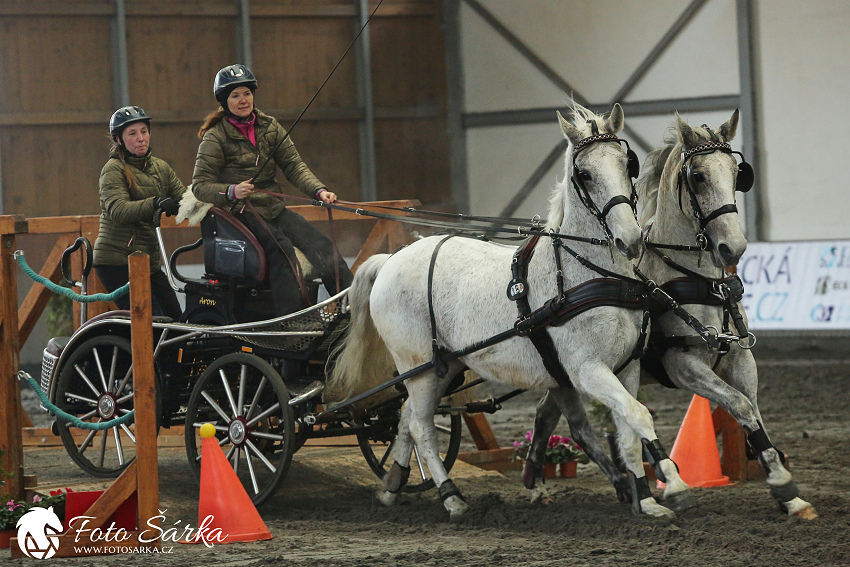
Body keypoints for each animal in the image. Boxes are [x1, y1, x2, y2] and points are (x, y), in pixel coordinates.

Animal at [324, 103, 688, 520]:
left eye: (628, 163)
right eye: (584, 173)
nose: (630, 240)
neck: (590, 274)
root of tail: (390, 260)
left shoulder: (627, 368)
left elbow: (628, 429)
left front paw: (646, 500)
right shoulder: (587, 370)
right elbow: (639, 415)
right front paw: (673, 484)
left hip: (445, 366)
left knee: (404, 419)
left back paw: (391, 487)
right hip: (416, 366)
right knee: (421, 427)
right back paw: (451, 497)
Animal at [524, 110, 816, 520]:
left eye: (737, 172)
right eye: (698, 177)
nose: (733, 247)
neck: (699, 280)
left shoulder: (740, 359)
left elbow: (753, 412)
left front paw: (787, 492)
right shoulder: (682, 364)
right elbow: (739, 404)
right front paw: (780, 483)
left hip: (563, 375)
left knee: (548, 415)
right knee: (571, 423)